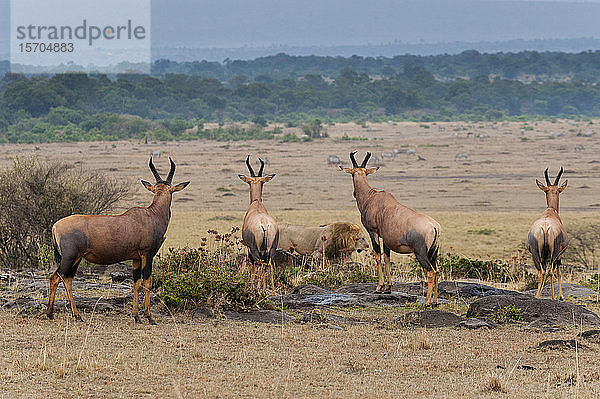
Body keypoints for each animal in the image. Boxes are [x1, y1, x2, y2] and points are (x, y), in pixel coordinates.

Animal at [45, 158, 189, 324]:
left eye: (167, 189)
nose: (144, 317)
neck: (150, 215)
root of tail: (55, 226)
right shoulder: (147, 254)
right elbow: (148, 282)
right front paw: (150, 317)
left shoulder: (136, 258)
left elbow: (136, 283)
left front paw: (136, 316)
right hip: (70, 257)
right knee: (55, 277)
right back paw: (50, 314)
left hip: (76, 258)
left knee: (67, 279)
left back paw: (77, 316)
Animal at [239, 155, 278, 290]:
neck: (256, 204)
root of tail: (264, 224)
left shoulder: (249, 249)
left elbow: (252, 266)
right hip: (271, 248)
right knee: (269, 265)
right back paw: (271, 289)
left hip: (255, 249)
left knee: (259, 264)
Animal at [342, 152, 440, 304]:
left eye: (352, 174)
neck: (372, 197)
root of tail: (434, 227)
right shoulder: (386, 238)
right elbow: (387, 257)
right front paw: (388, 287)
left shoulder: (373, 232)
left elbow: (378, 255)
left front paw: (379, 287)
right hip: (433, 253)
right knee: (437, 272)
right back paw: (434, 302)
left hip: (420, 253)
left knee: (430, 272)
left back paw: (426, 304)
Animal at [528, 166, 568, 300]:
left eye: (556, 190)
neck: (551, 212)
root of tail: (545, 228)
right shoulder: (559, 254)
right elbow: (558, 272)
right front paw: (560, 296)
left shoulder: (543, 256)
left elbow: (544, 271)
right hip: (554, 253)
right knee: (550, 272)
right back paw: (553, 297)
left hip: (536, 253)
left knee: (541, 272)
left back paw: (537, 296)